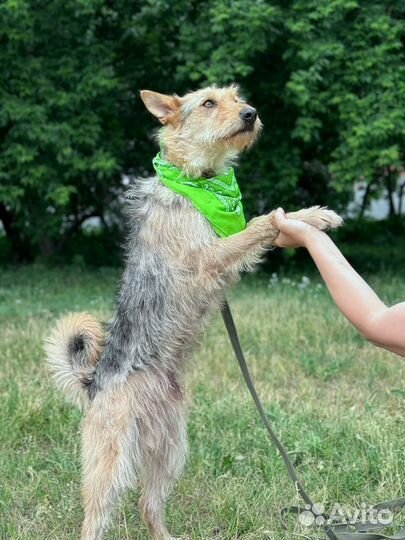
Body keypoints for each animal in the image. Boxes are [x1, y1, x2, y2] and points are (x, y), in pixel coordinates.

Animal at [44, 85, 340, 540]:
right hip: (110, 463)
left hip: (171, 449)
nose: (251, 113)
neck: (199, 181)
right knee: (94, 518)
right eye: (208, 103)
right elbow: (260, 223)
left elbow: (277, 218)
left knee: (149, 505)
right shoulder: (207, 258)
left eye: (236, 97)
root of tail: (93, 381)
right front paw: (292, 220)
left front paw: (314, 215)